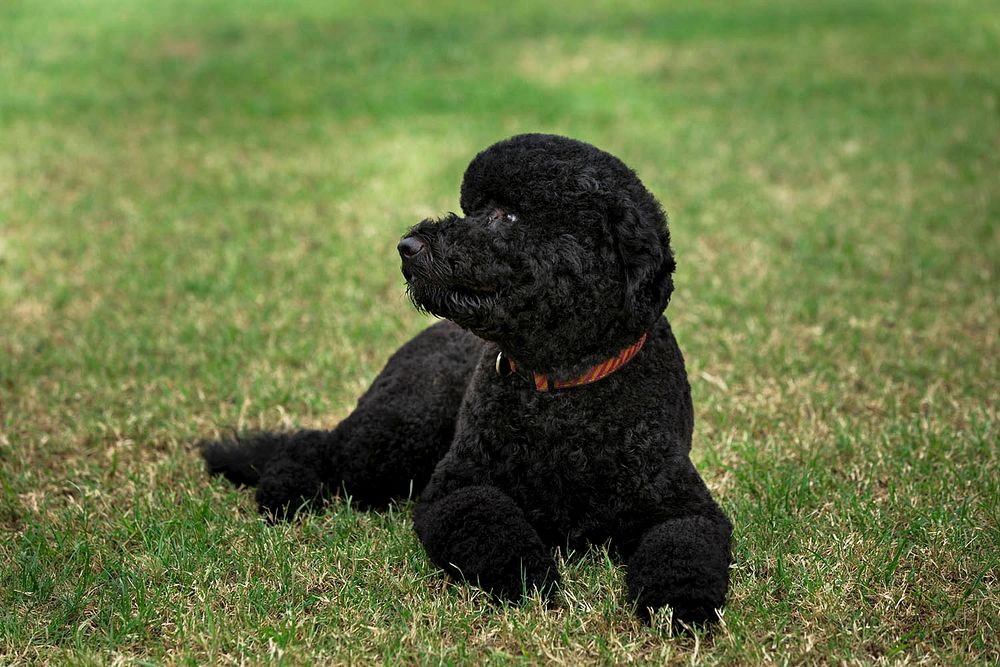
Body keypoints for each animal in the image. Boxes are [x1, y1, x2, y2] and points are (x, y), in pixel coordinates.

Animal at [203, 133, 736, 624]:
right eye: (474, 209)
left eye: (509, 216)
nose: (408, 246)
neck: (560, 392)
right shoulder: (456, 487)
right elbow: (491, 525)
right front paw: (531, 577)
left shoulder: (683, 505)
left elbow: (683, 548)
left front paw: (680, 604)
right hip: (399, 433)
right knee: (315, 447)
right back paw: (283, 493)